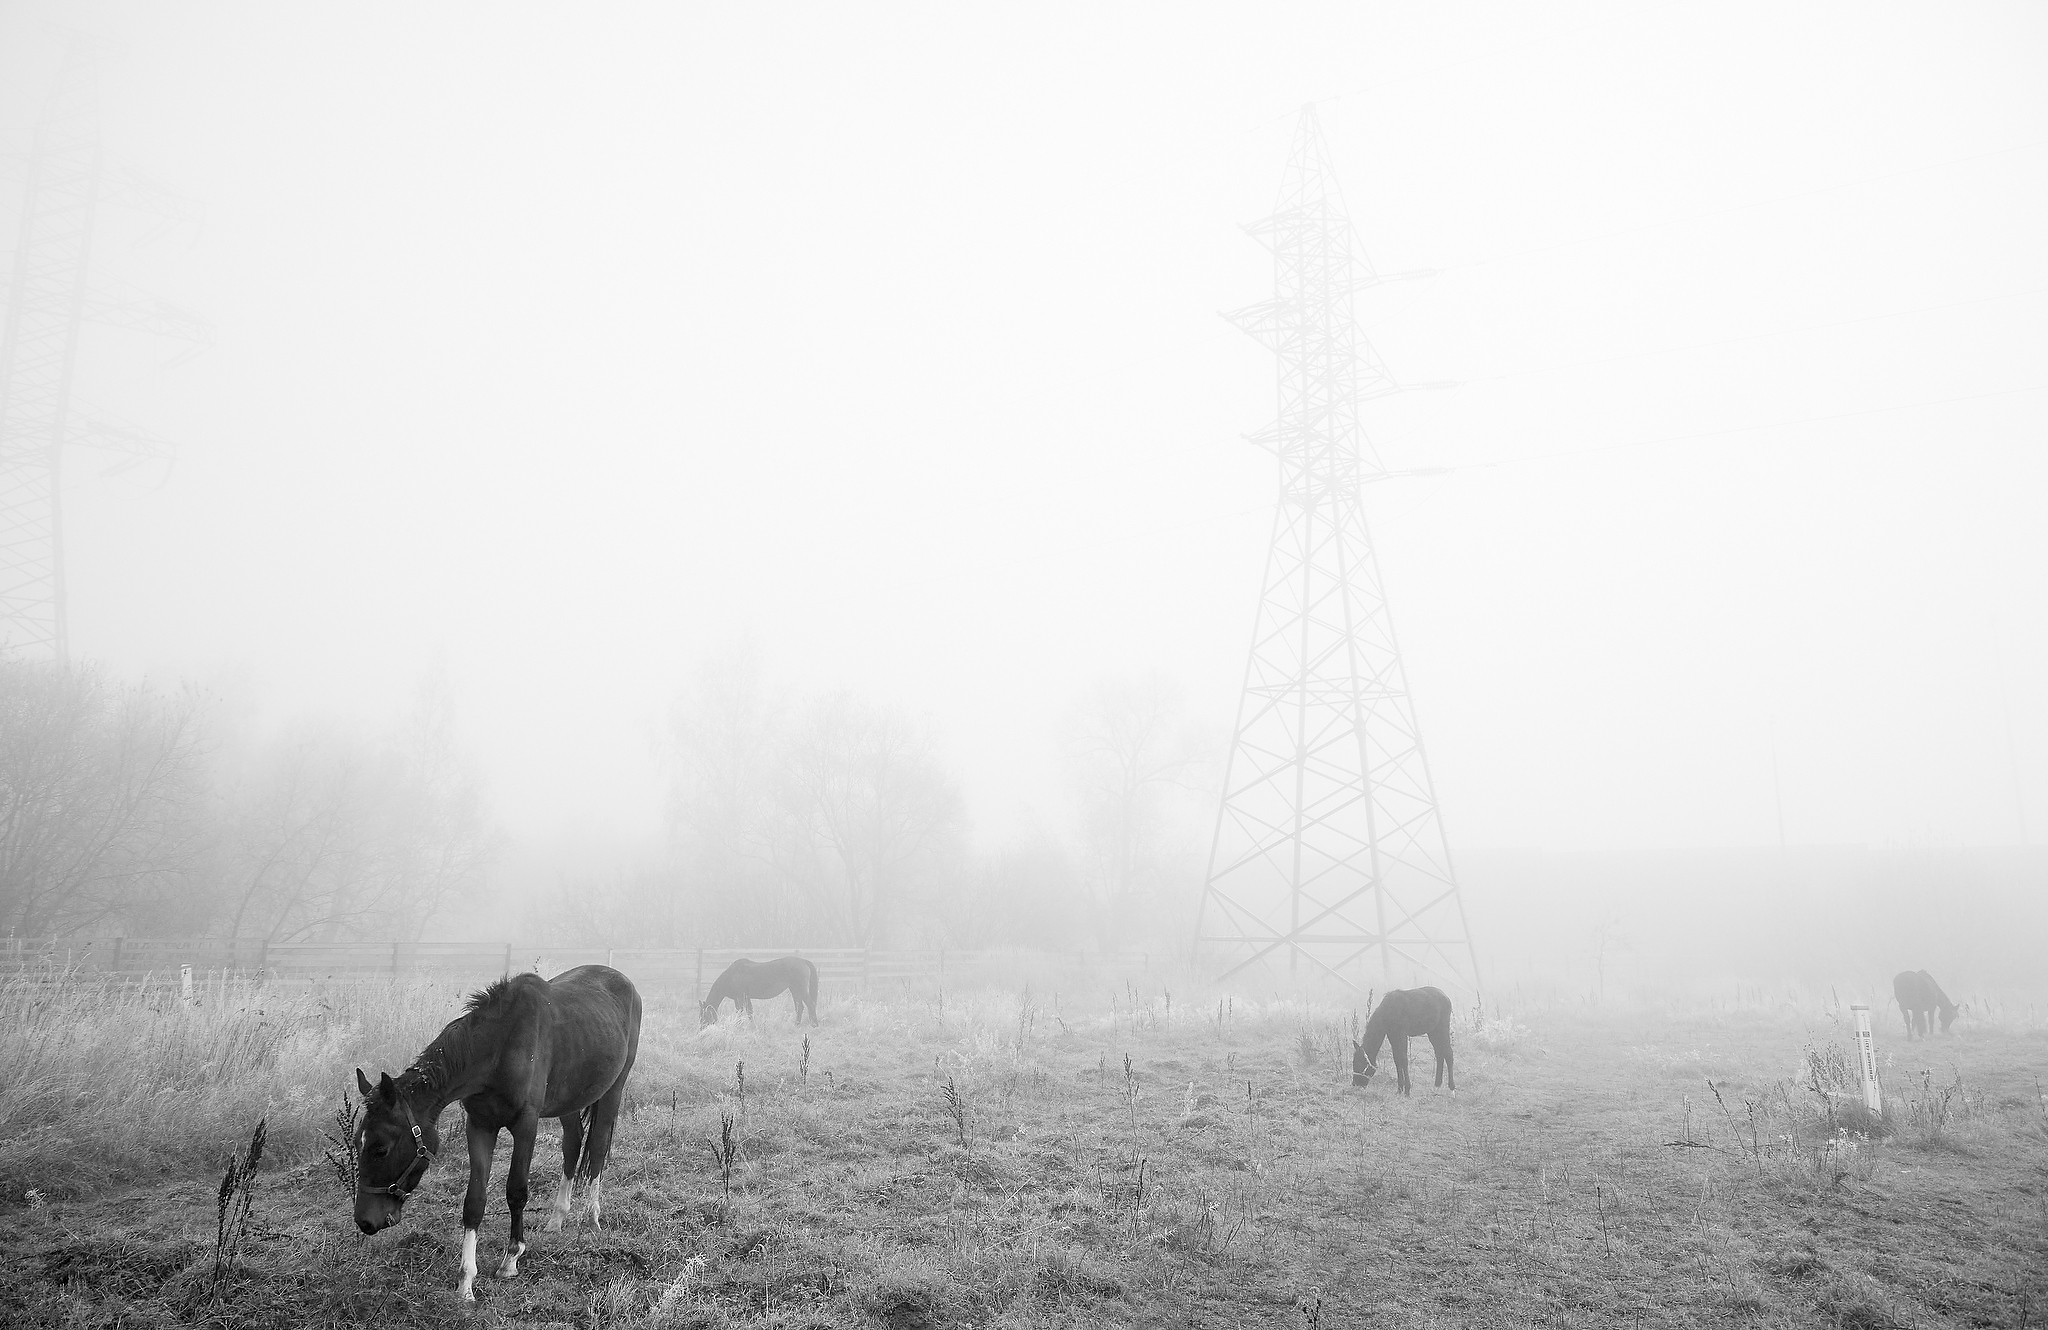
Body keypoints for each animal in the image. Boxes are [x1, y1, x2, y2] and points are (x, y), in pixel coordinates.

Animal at [352, 964, 641, 1301]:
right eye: (358, 1144)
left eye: (381, 1148)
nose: (364, 1221)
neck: (500, 1047)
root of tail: (623, 980)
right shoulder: (480, 1126)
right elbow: (474, 1201)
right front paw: (465, 1281)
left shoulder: (526, 1125)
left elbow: (516, 1191)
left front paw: (511, 1259)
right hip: (568, 1099)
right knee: (573, 1144)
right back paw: (557, 1218)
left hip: (612, 1090)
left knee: (596, 1147)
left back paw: (592, 1218)